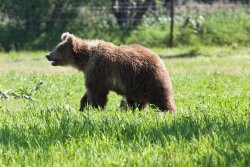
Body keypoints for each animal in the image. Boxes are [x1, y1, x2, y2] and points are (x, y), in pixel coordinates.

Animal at [46, 32, 177, 113]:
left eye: (58, 48)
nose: (48, 55)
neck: (85, 58)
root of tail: (159, 59)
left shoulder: (98, 69)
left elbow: (97, 92)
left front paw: (95, 108)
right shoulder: (91, 72)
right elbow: (89, 92)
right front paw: (83, 107)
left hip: (148, 77)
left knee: (160, 96)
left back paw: (168, 111)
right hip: (135, 85)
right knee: (136, 101)